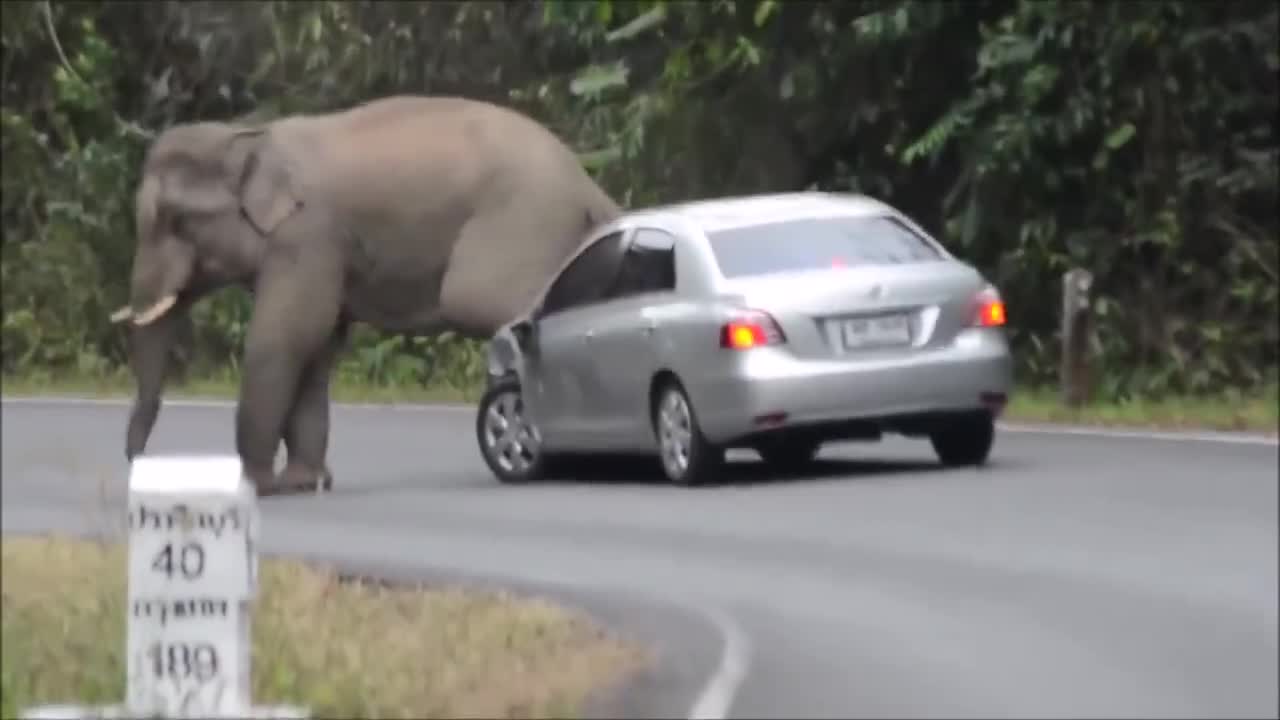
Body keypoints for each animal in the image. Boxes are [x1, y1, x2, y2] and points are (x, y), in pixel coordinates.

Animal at [110, 94, 621, 496]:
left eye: (176, 221)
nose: (138, 467)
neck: (248, 137)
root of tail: (588, 186)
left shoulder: (307, 237)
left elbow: (285, 337)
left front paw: (256, 485)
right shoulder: (324, 252)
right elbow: (318, 347)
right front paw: (304, 483)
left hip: (521, 224)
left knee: (476, 300)